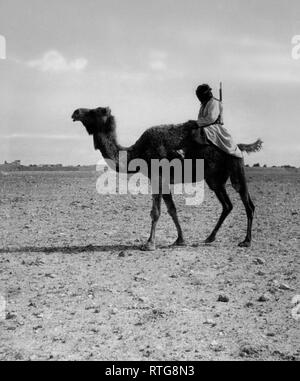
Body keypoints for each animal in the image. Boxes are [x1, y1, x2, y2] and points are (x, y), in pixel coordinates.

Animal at [71, 106, 262, 249]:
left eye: (96, 111)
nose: (75, 112)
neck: (138, 152)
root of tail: (238, 145)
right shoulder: (162, 180)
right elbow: (172, 209)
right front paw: (180, 240)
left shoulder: (158, 176)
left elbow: (156, 212)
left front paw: (149, 243)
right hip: (214, 179)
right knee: (227, 205)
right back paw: (210, 237)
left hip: (236, 166)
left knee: (248, 203)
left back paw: (246, 241)